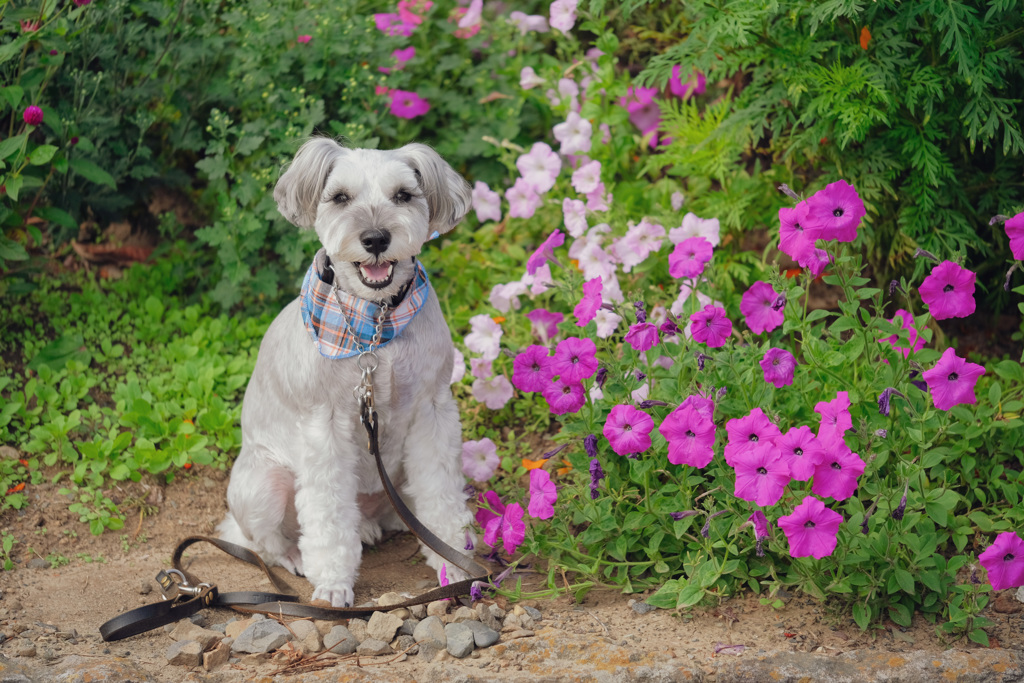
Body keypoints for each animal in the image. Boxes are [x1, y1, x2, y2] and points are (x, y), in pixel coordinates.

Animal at [220, 139, 475, 610]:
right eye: (340, 197)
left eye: (403, 195)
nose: (375, 238)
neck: (374, 324)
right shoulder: (326, 428)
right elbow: (328, 514)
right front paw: (334, 582)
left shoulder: (432, 413)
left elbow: (442, 496)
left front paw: (454, 564)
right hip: (264, 484)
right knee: (267, 542)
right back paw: (296, 556)